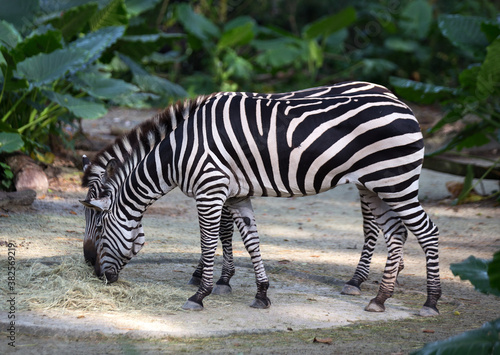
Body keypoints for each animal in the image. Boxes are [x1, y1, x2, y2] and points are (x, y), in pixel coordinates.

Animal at [79, 81, 442, 318]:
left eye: (99, 228)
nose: (94, 271)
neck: (178, 152)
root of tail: (398, 100)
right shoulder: (237, 194)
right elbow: (250, 240)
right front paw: (261, 293)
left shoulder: (210, 189)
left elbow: (211, 240)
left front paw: (201, 292)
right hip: (376, 185)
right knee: (395, 233)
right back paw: (380, 297)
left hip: (395, 181)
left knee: (427, 232)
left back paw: (429, 302)